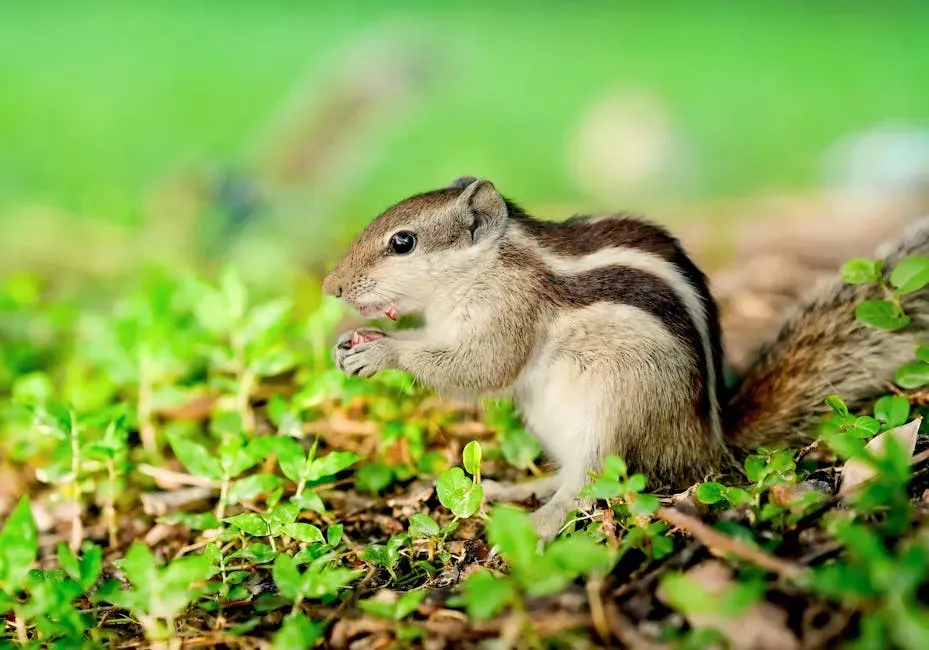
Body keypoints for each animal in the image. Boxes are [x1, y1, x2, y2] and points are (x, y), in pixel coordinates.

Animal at [322, 177, 929, 541]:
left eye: (403, 242)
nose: (331, 288)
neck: (488, 263)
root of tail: (709, 446)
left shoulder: (509, 312)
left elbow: (483, 367)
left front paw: (382, 350)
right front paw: (349, 341)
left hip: (615, 409)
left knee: (589, 484)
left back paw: (540, 522)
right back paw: (510, 489)